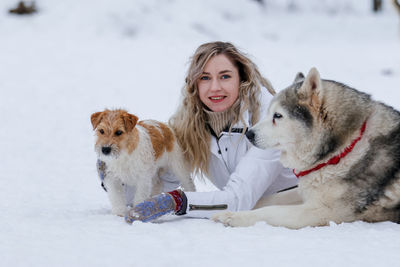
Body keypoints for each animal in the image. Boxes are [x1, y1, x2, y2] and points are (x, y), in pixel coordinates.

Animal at [214, 68, 400, 229]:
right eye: (268, 113)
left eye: (278, 116)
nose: (249, 134)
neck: (342, 149)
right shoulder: (306, 191)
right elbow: (271, 198)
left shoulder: (322, 212)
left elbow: (269, 211)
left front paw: (233, 216)